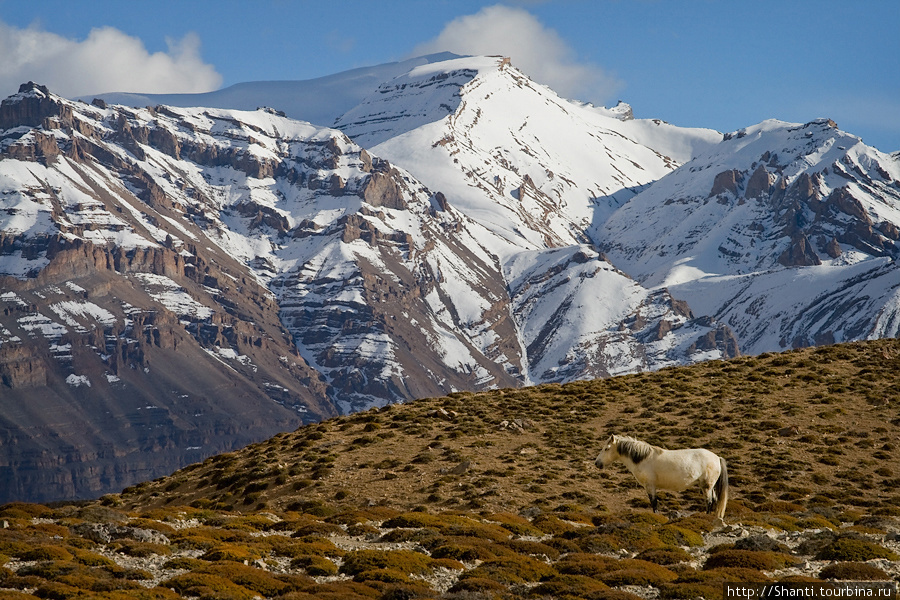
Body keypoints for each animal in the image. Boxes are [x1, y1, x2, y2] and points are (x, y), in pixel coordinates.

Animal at [596, 434, 728, 516]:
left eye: (607, 448)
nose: (597, 463)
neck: (643, 458)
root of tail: (717, 458)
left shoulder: (650, 486)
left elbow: (654, 503)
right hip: (709, 486)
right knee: (714, 500)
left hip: (707, 486)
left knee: (709, 501)